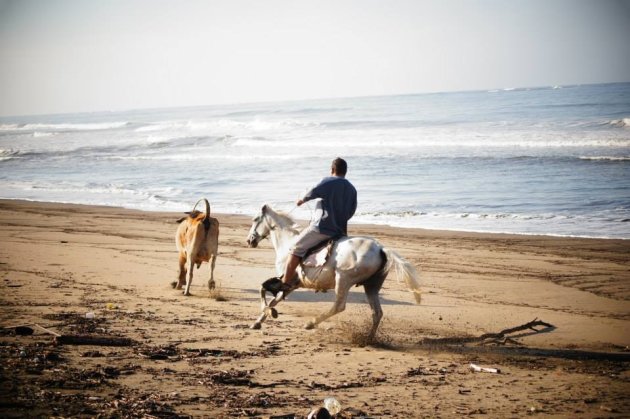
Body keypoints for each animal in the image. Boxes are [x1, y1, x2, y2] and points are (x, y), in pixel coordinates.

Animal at [248, 205, 424, 342]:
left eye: (255, 219)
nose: (249, 240)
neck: (288, 242)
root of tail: (381, 249)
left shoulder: (287, 282)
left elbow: (264, 292)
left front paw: (268, 313)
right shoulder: (291, 286)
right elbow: (270, 299)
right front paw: (258, 322)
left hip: (343, 280)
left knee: (339, 306)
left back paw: (311, 323)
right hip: (372, 286)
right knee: (377, 313)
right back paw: (368, 338)